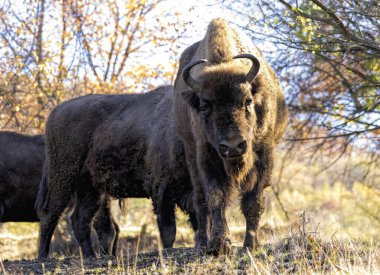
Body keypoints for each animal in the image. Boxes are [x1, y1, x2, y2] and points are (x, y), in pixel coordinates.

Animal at [36, 85, 197, 260]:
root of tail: (55, 112)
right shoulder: (163, 189)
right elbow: (168, 228)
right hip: (62, 178)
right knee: (50, 214)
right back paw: (43, 256)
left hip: (91, 189)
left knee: (80, 220)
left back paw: (91, 256)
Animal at [173, 18, 288, 256]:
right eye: (204, 106)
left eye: (247, 101)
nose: (234, 146)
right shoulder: (207, 156)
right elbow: (216, 197)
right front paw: (219, 244)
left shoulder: (264, 155)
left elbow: (253, 201)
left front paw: (251, 244)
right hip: (190, 154)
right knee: (200, 201)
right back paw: (201, 243)